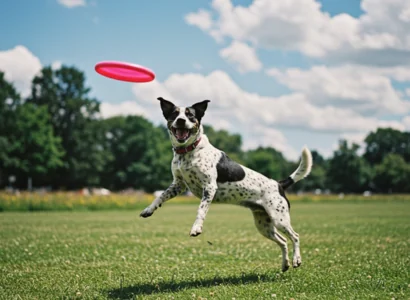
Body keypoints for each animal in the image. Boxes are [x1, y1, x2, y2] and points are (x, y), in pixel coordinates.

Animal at [139, 96, 312, 272]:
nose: (181, 120)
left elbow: (201, 210)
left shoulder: (209, 186)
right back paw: (285, 264)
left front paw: (196, 228)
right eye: (174, 114)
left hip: (279, 218)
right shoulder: (178, 185)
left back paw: (296, 260)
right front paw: (148, 210)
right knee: (283, 241)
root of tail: (279, 184)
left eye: (190, 115)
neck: (187, 151)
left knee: (295, 236)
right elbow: (160, 197)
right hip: (264, 224)